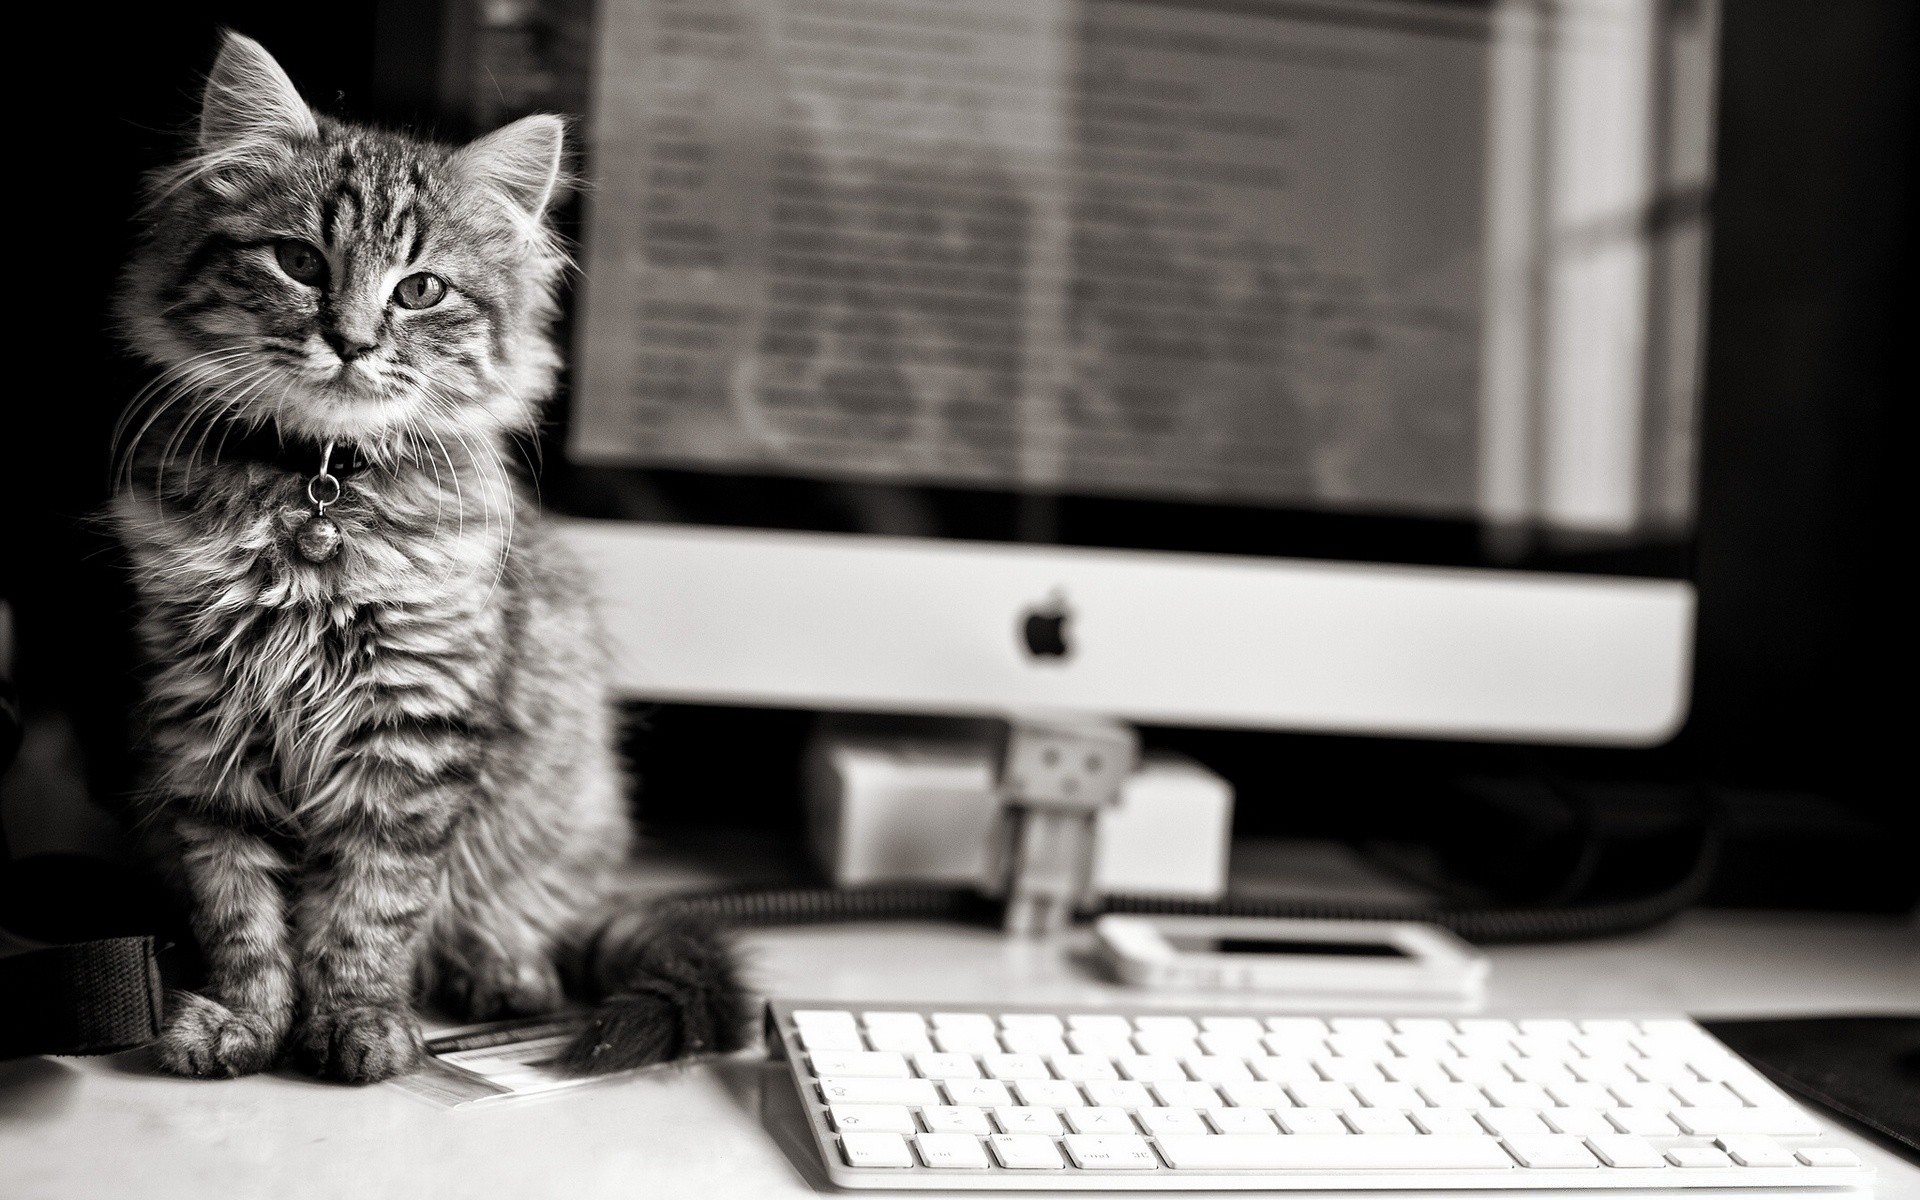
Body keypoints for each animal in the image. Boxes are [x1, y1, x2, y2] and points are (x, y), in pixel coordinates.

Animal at [108, 28, 744, 1082]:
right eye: (298, 260)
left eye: (420, 291)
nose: (351, 340)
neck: (320, 496)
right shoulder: (204, 724)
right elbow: (239, 907)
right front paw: (244, 1020)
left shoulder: (411, 724)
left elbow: (369, 909)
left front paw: (358, 1022)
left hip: (566, 809)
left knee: (520, 909)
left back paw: (500, 970)